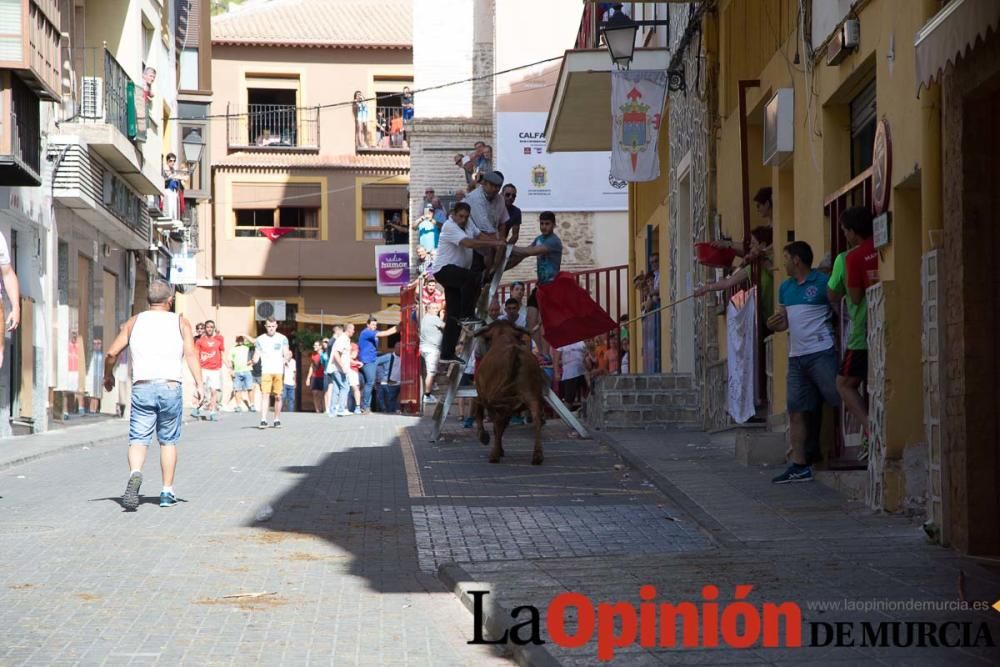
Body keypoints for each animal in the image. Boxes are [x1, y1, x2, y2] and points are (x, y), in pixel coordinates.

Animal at [474, 318, 548, 464]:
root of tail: (515, 352)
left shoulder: (482, 392)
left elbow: (479, 412)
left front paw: (484, 436)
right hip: (532, 395)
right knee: (536, 418)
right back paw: (537, 455)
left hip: (497, 397)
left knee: (498, 420)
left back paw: (494, 454)